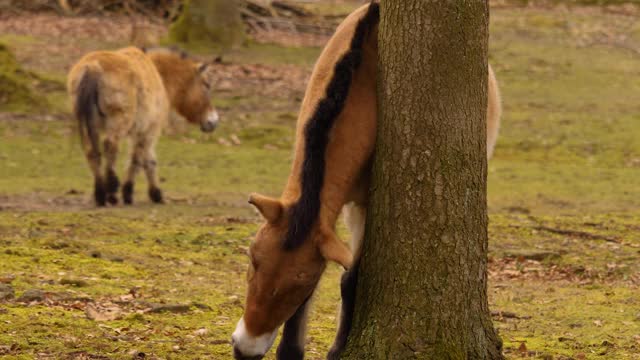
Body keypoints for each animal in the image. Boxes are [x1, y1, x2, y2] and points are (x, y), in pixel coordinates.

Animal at [66, 46, 219, 207]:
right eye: (206, 84)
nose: (213, 121)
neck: (159, 76)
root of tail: (93, 67)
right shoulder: (148, 130)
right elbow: (141, 160)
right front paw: (130, 193)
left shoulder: (140, 132)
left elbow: (147, 159)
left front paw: (155, 194)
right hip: (118, 122)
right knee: (110, 146)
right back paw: (112, 191)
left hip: (91, 126)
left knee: (92, 152)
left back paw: (100, 194)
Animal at [232, 3, 502, 360]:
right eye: (253, 260)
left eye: (299, 286)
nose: (245, 349)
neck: (359, 85)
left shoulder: (364, 207)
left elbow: (349, 279)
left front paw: (337, 349)